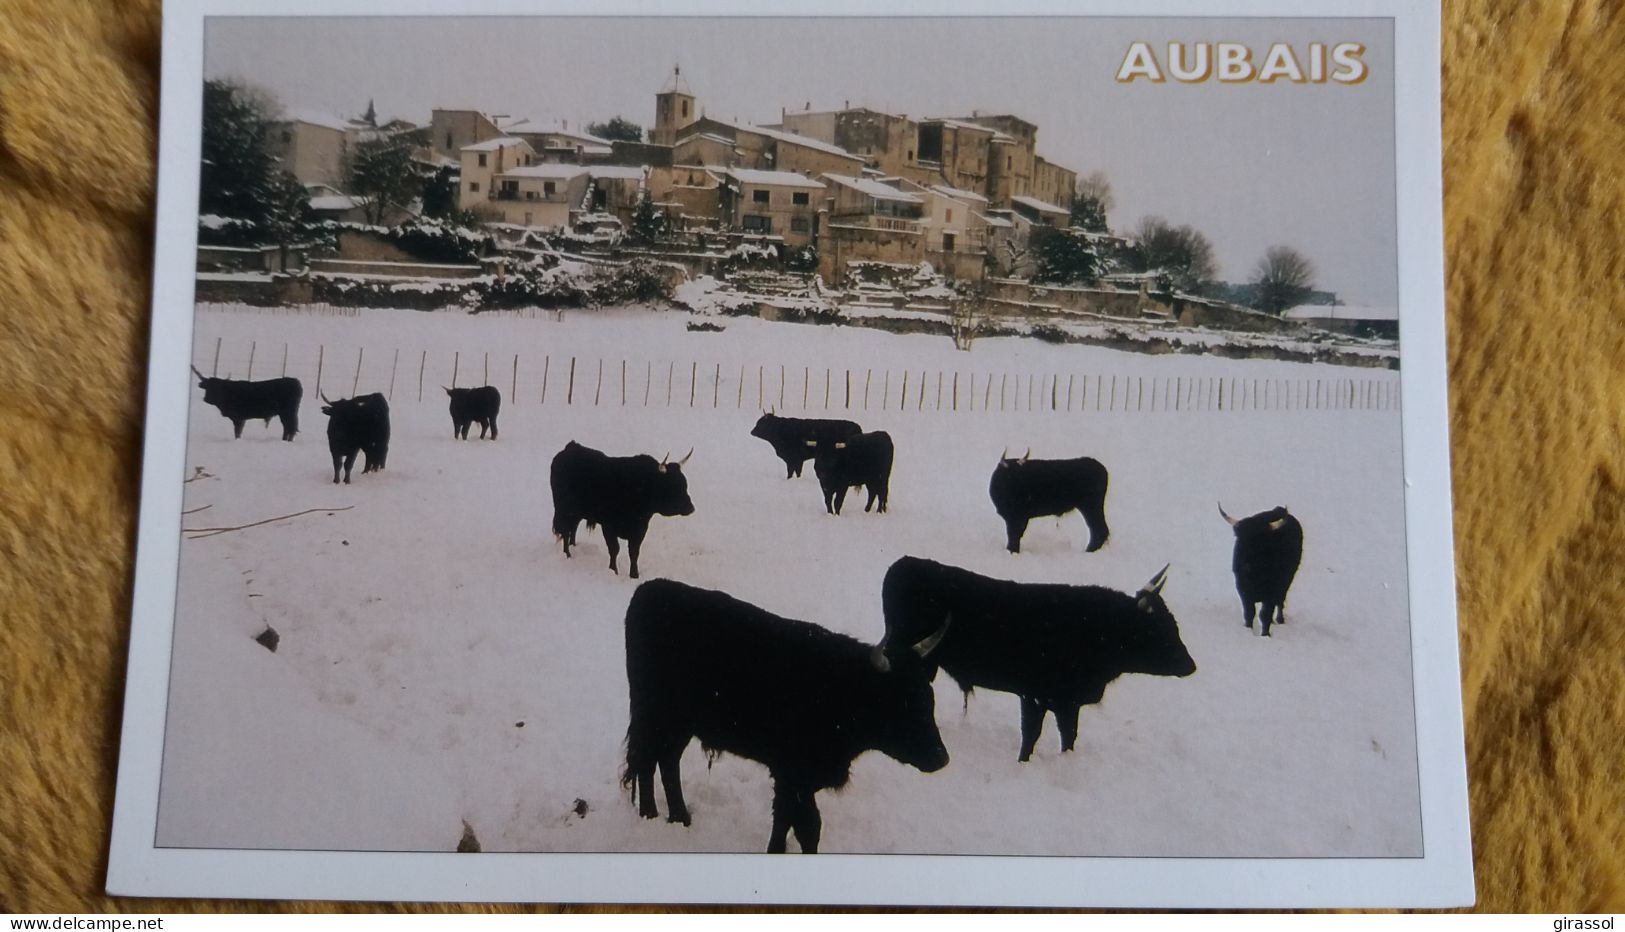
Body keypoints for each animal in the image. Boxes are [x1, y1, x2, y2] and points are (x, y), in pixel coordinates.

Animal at [549, 441, 695, 581]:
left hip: (576, 512)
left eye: (685, 484)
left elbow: (634, 552)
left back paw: (574, 546)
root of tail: (571, 447)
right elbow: (614, 549)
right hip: (564, 509)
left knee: (573, 528)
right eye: (672, 486)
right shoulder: (608, 527)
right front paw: (613, 570)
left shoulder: (640, 529)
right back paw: (567, 554)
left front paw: (634, 575)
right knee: (565, 531)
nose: (691, 508)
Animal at [620, 581, 949, 857]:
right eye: (900, 704)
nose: (941, 758)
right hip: (655, 713)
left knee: (665, 760)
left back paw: (680, 818)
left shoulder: (801, 780)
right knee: (647, 759)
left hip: (678, 723)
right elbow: (802, 825)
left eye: (929, 700)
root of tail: (651, 590)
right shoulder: (792, 776)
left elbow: (794, 822)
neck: (840, 687)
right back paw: (652, 815)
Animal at [877, 558, 1196, 763]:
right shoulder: (1036, 696)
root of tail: (904, 564)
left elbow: (1068, 736)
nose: (1191, 665)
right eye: (1158, 629)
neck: (1097, 628)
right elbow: (1032, 734)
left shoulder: (1067, 702)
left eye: (1174, 624)